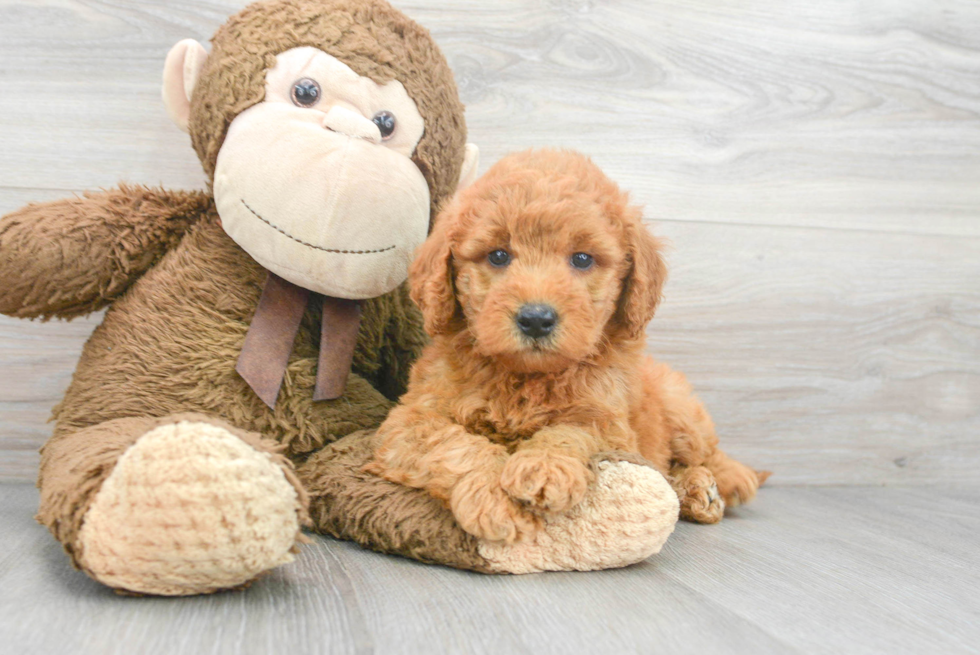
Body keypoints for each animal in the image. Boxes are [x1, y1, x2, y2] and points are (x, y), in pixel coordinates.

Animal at [368, 150, 764, 544]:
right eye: (498, 256)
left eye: (582, 259)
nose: (536, 319)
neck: (526, 378)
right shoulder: (409, 421)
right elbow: (455, 445)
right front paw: (498, 498)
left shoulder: (608, 422)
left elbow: (571, 430)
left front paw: (543, 468)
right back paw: (696, 490)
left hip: (680, 408)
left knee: (706, 452)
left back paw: (725, 482)